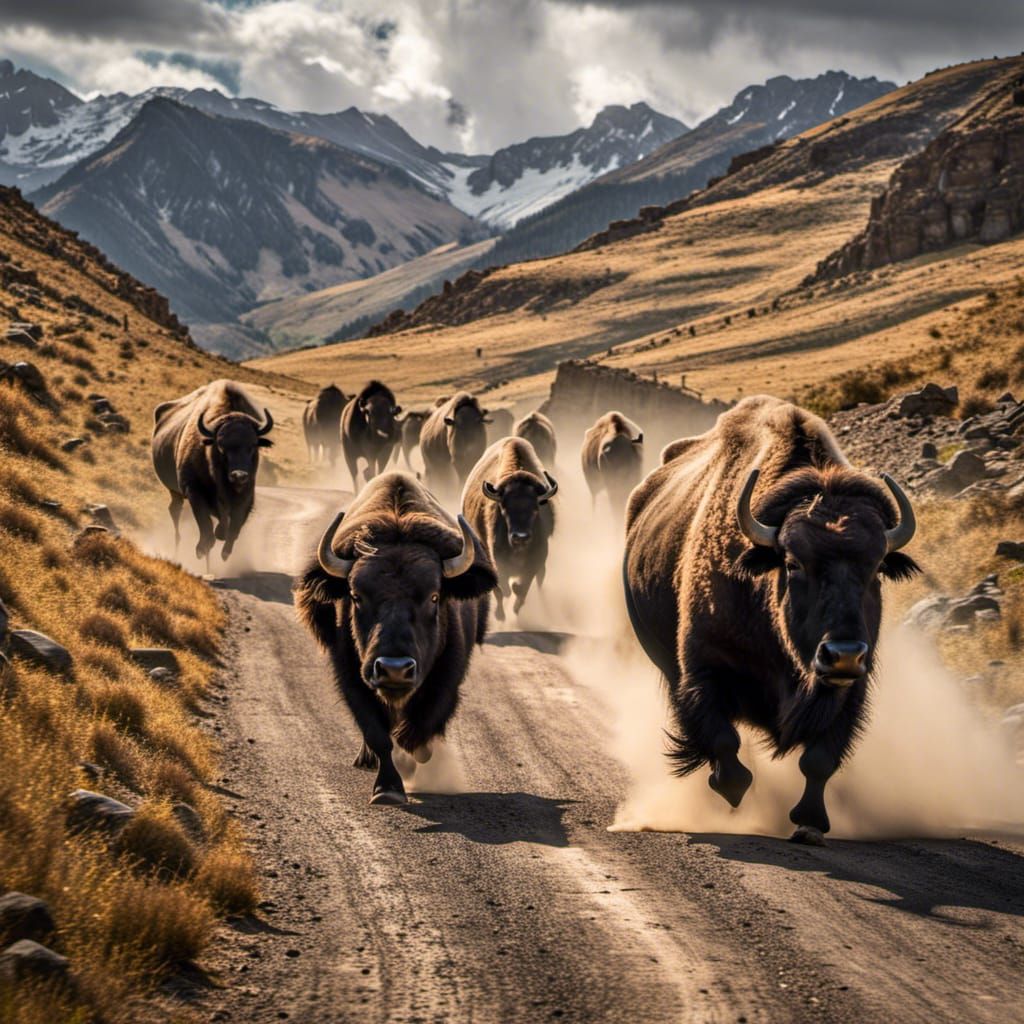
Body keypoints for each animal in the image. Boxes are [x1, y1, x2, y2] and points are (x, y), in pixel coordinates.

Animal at [152, 379, 274, 563]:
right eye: (221, 446)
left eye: (253, 445)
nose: (239, 476)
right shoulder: (193, 491)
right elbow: (207, 528)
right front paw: (201, 550)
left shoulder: (246, 498)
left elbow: (233, 529)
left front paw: (224, 552)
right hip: (176, 492)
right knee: (175, 511)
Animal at [295, 472, 497, 805]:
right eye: (356, 596)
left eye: (434, 596)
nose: (394, 669)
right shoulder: (352, 678)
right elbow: (379, 735)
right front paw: (387, 789)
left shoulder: (445, 681)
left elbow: (420, 729)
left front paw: (413, 763)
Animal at [463, 437, 558, 621]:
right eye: (504, 508)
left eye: (535, 508)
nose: (520, 537)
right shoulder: (496, 559)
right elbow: (503, 588)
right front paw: (503, 611)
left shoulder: (538, 558)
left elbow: (522, 587)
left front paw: (516, 606)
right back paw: (500, 615)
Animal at [622, 396, 919, 842]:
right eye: (793, 564)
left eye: (877, 568)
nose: (844, 654)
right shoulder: (702, 667)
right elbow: (724, 743)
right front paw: (727, 790)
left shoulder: (850, 692)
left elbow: (819, 760)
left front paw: (809, 824)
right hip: (667, 664)